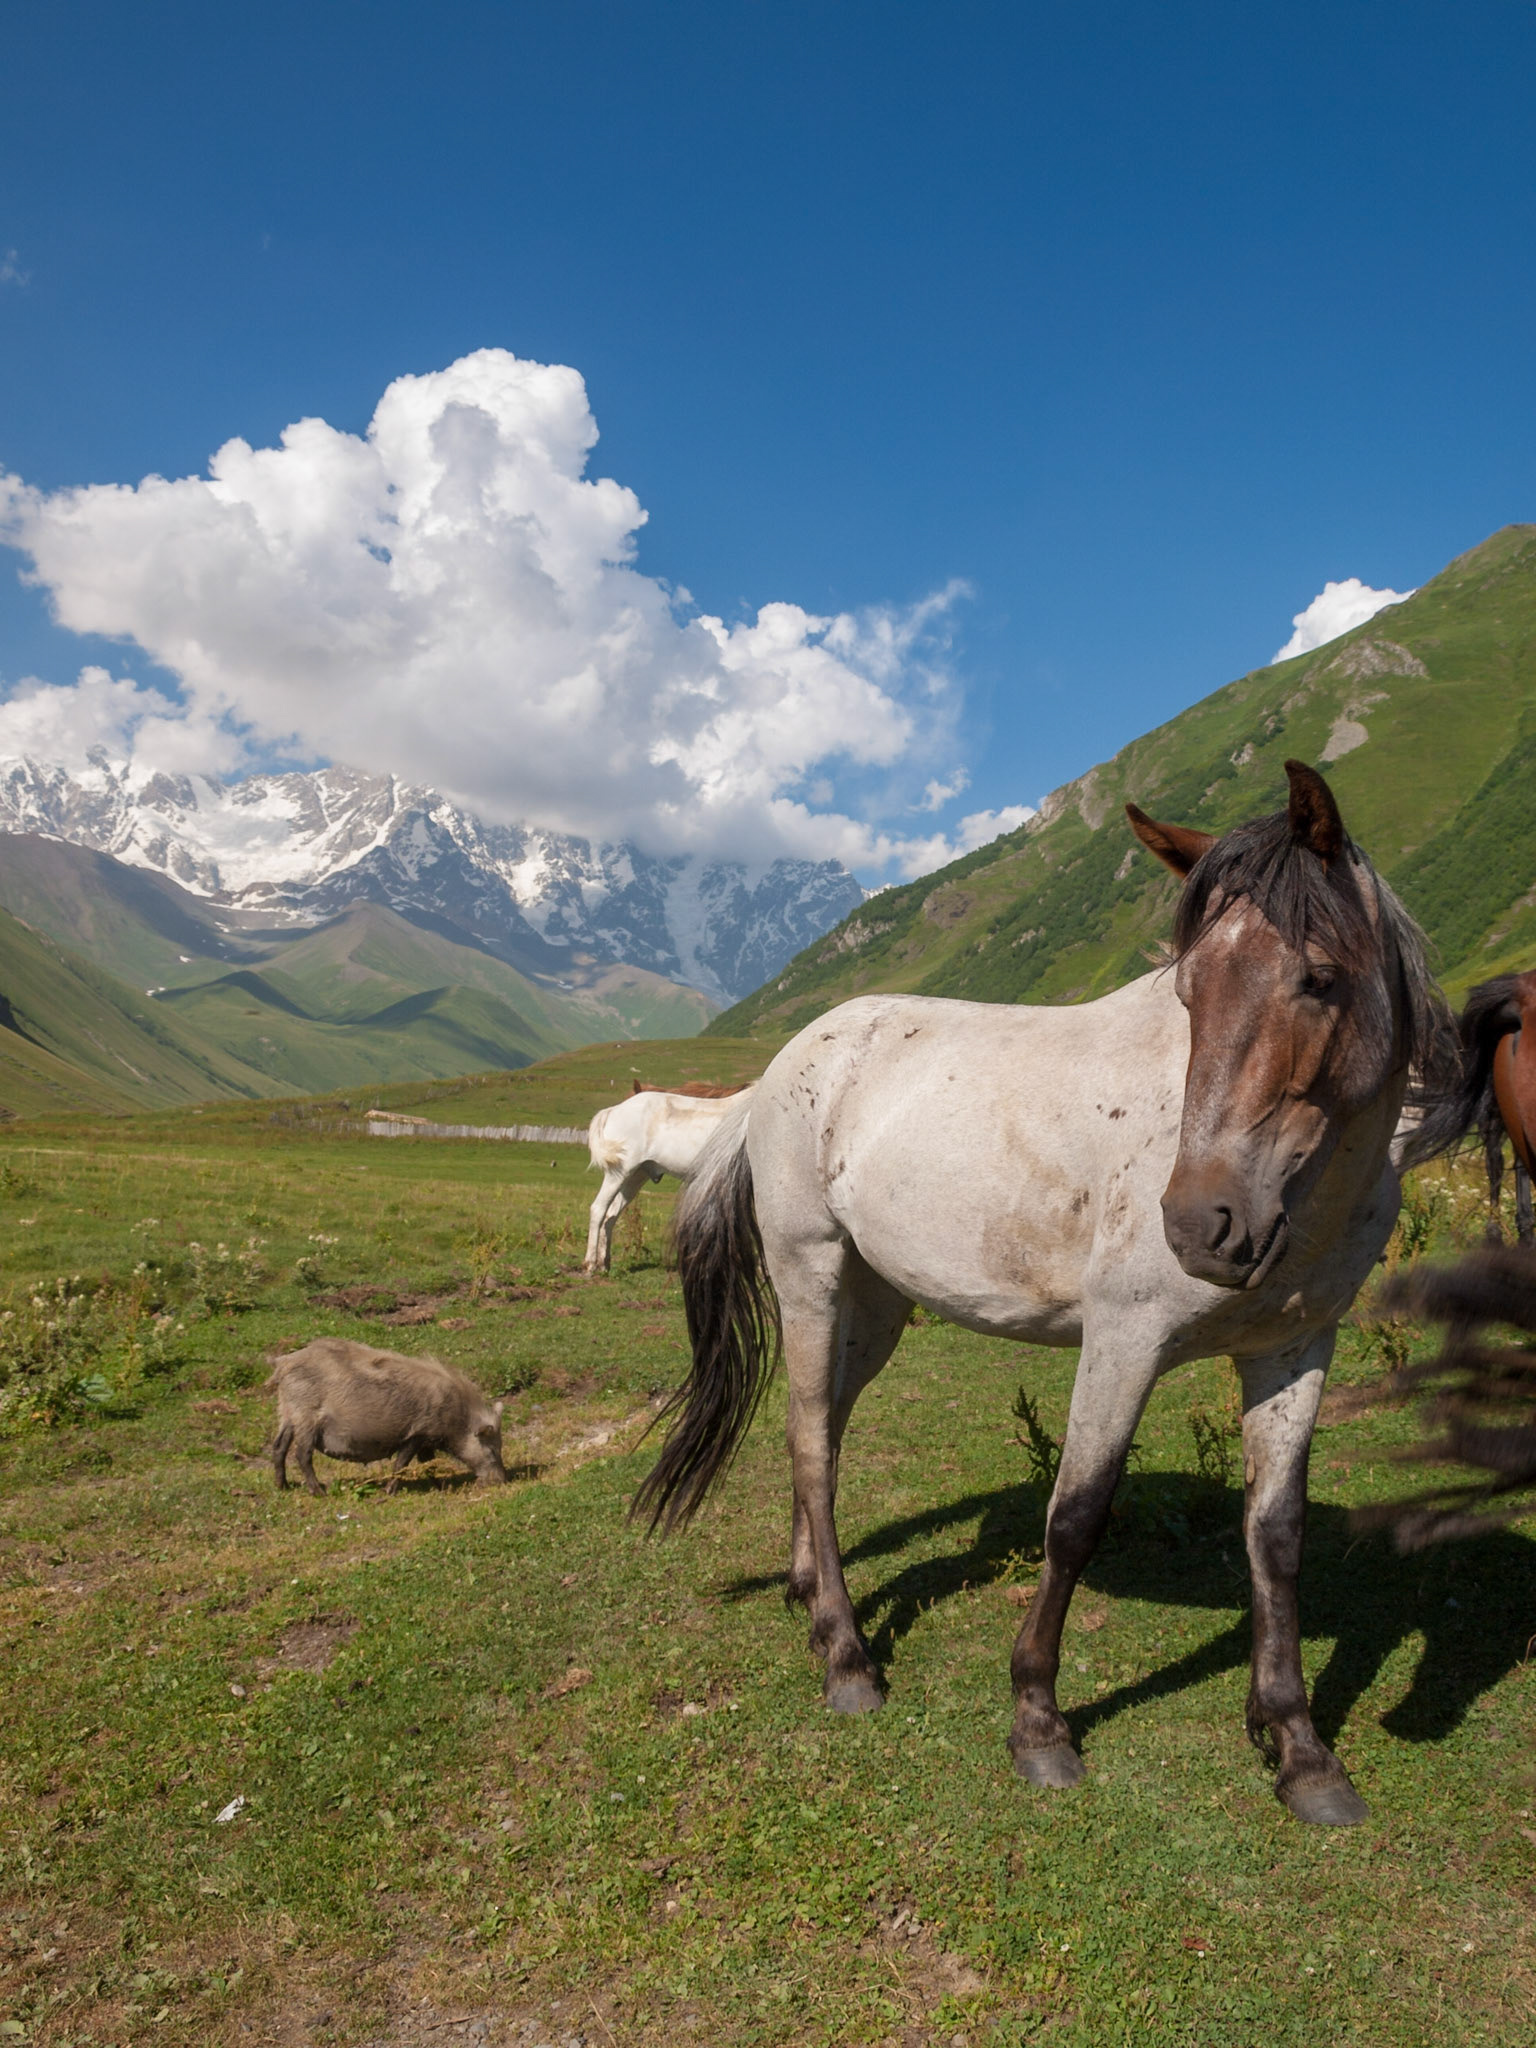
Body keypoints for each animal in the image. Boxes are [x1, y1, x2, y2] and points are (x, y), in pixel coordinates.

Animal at [583, 1086, 757, 1274]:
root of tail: (613, 1110)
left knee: (611, 1216)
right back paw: (590, 1264)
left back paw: (604, 1264)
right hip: (618, 1173)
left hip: (635, 1177)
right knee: (598, 1209)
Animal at [636, 761, 1462, 1826]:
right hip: (810, 1273)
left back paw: (808, 1594)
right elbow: (1074, 1517)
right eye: (1188, 991)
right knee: (814, 1444)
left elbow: (1275, 1535)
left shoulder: (1294, 1348)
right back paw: (847, 1658)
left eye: (1319, 977)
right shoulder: (1123, 1341)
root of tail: (786, 1064)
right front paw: (1038, 1722)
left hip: (875, 1305)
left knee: (814, 1426)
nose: (1203, 1225)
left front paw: (1300, 1749)